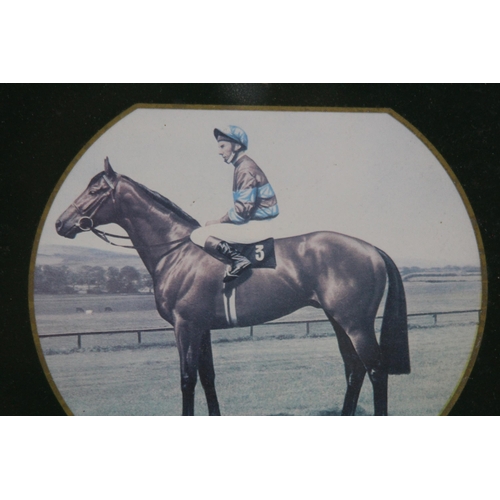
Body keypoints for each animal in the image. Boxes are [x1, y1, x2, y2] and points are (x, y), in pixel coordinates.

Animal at [55, 158, 410, 416]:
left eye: (94, 191)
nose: (61, 223)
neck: (176, 251)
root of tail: (371, 249)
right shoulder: (202, 328)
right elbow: (208, 378)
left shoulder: (185, 326)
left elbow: (187, 380)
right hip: (339, 321)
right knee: (354, 370)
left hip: (356, 323)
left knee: (375, 371)